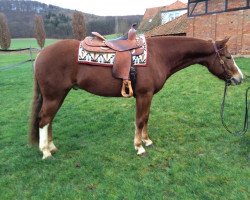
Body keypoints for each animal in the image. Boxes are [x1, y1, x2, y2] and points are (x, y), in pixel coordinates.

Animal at [28, 36, 242, 159]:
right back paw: (45, 152)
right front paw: (139, 147)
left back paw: (51, 147)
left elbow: (146, 118)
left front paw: (147, 141)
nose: (240, 78)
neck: (158, 54)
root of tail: (41, 54)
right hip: (54, 96)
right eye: (228, 57)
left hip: (58, 95)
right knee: (44, 120)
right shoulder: (143, 95)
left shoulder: (148, 96)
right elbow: (139, 120)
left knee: (49, 120)